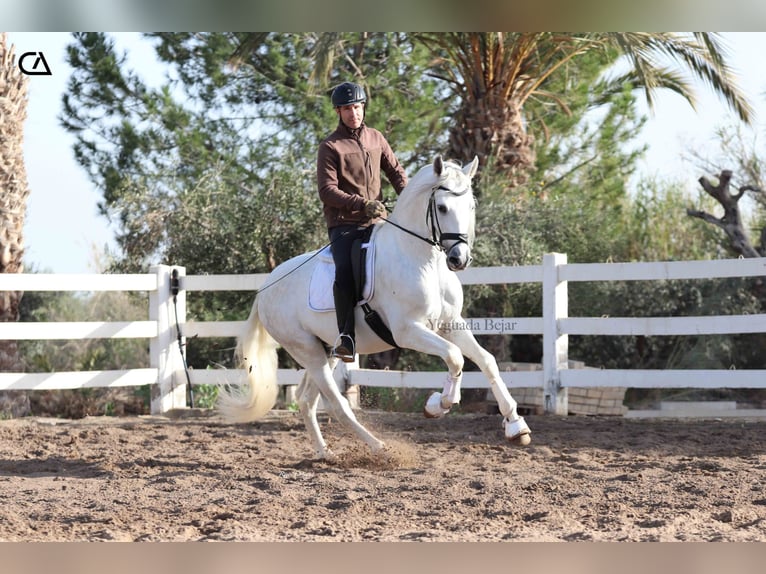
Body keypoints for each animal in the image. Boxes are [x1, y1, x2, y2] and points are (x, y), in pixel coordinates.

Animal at [219, 155, 532, 462]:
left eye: (471, 206)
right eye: (442, 207)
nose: (459, 259)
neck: (422, 261)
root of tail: (265, 288)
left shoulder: (450, 324)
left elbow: (487, 361)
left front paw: (516, 426)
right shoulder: (408, 331)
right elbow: (455, 357)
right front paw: (438, 404)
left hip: (328, 350)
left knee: (307, 399)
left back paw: (324, 453)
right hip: (306, 350)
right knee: (337, 403)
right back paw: (381, 448)